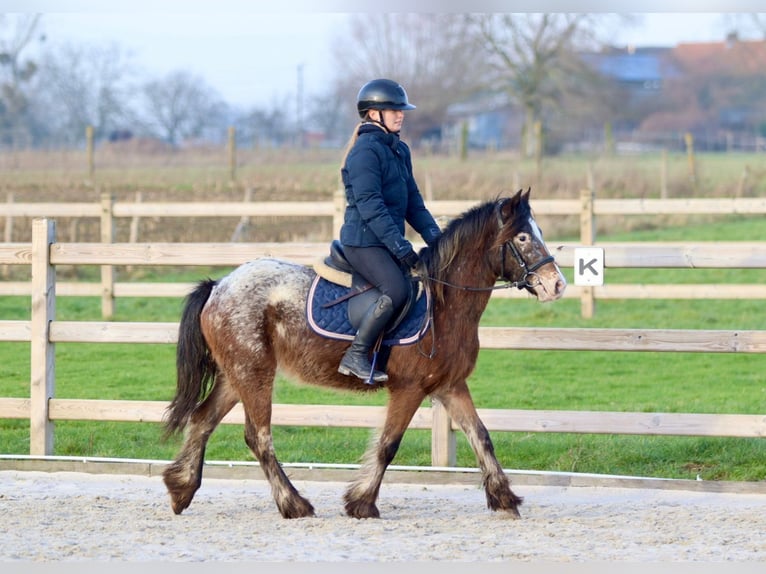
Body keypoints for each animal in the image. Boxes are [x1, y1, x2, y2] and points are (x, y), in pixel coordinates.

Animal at [164, 190, 568, 520]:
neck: (444, 304)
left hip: (237, 374)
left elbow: (481, 437)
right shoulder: (409, 388)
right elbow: (389, 445)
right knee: (258, 436)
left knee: (203, 419)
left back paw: (181, 488)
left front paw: (504, 498)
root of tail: (219, 286)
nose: (557, 284)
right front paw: (362, 503)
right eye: (522, 237)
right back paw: (293, 504)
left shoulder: (450, 386)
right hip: (253, 372)